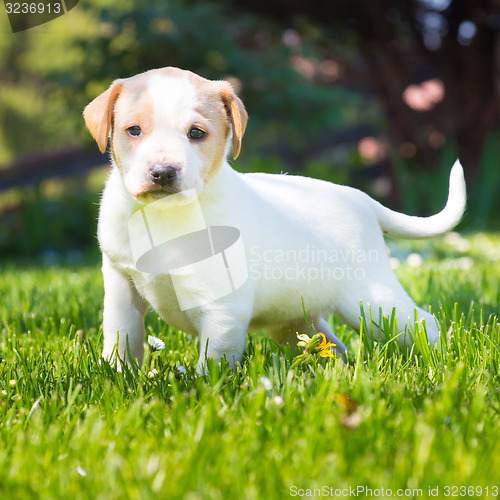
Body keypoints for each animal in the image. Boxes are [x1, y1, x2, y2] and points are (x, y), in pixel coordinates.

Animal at [84, 65, 466, 372]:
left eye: (196, 133)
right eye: (134, 130)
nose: (163, 172)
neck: (163, 217)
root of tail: (362, 199)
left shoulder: (223, 310)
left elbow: (212, 363)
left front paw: (202, 391)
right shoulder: (121, 285)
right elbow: (122, 336)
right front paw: (116, 377)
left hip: (374, 302)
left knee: (423, 323)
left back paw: (442, 361)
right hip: (296, 321)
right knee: (332, 346)